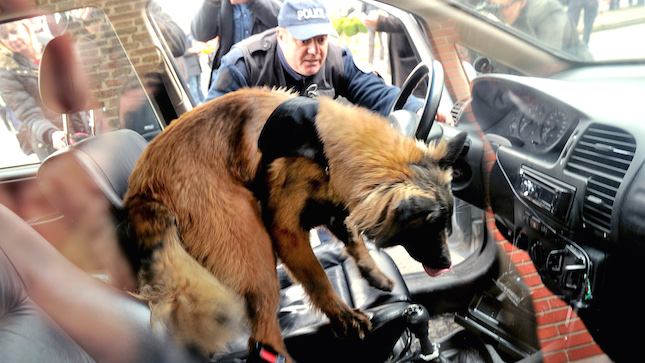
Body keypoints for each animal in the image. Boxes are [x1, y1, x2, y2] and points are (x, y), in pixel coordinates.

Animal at [118, 88, 466, 358]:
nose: (447, 264)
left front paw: (374, 274)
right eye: (432, 226)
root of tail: (143, 191)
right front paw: (344, 317)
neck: (323, 148)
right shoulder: (287, 233)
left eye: (446, 224)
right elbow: (319, 280)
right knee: (263, 334)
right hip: (257, 254)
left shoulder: (336, 208)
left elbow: (354, 241)